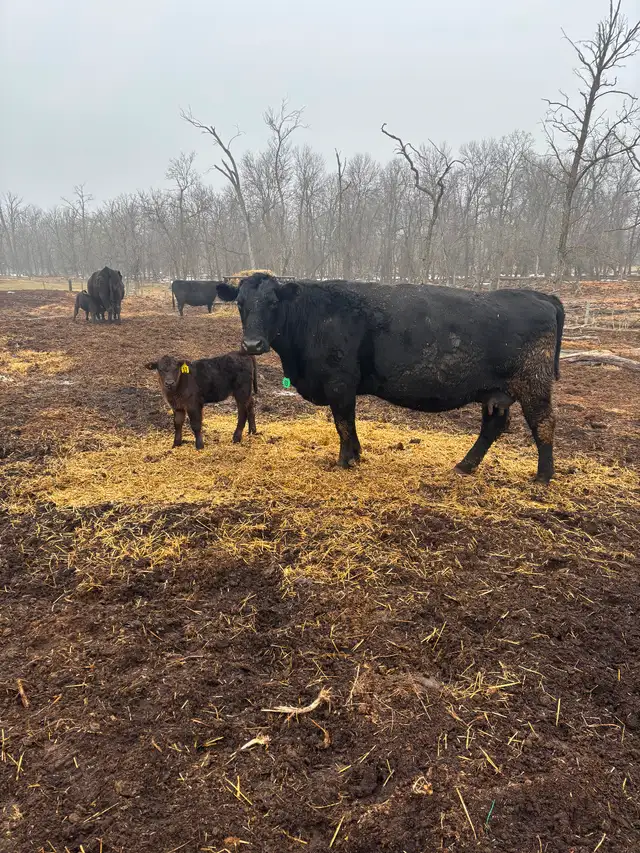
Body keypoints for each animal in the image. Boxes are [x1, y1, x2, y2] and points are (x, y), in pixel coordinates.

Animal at [217, 273, 565, 483]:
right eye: (240, 303)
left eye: (273, 302)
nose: (252, 344)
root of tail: (541, 295)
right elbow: (350, 424)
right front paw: (357, 455)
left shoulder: (339, 383)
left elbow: (343, 423)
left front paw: (344, 461)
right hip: (495, 391)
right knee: (493, 426)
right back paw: (464, 466)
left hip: (533, 383)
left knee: (544, 423)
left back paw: (543, 477)